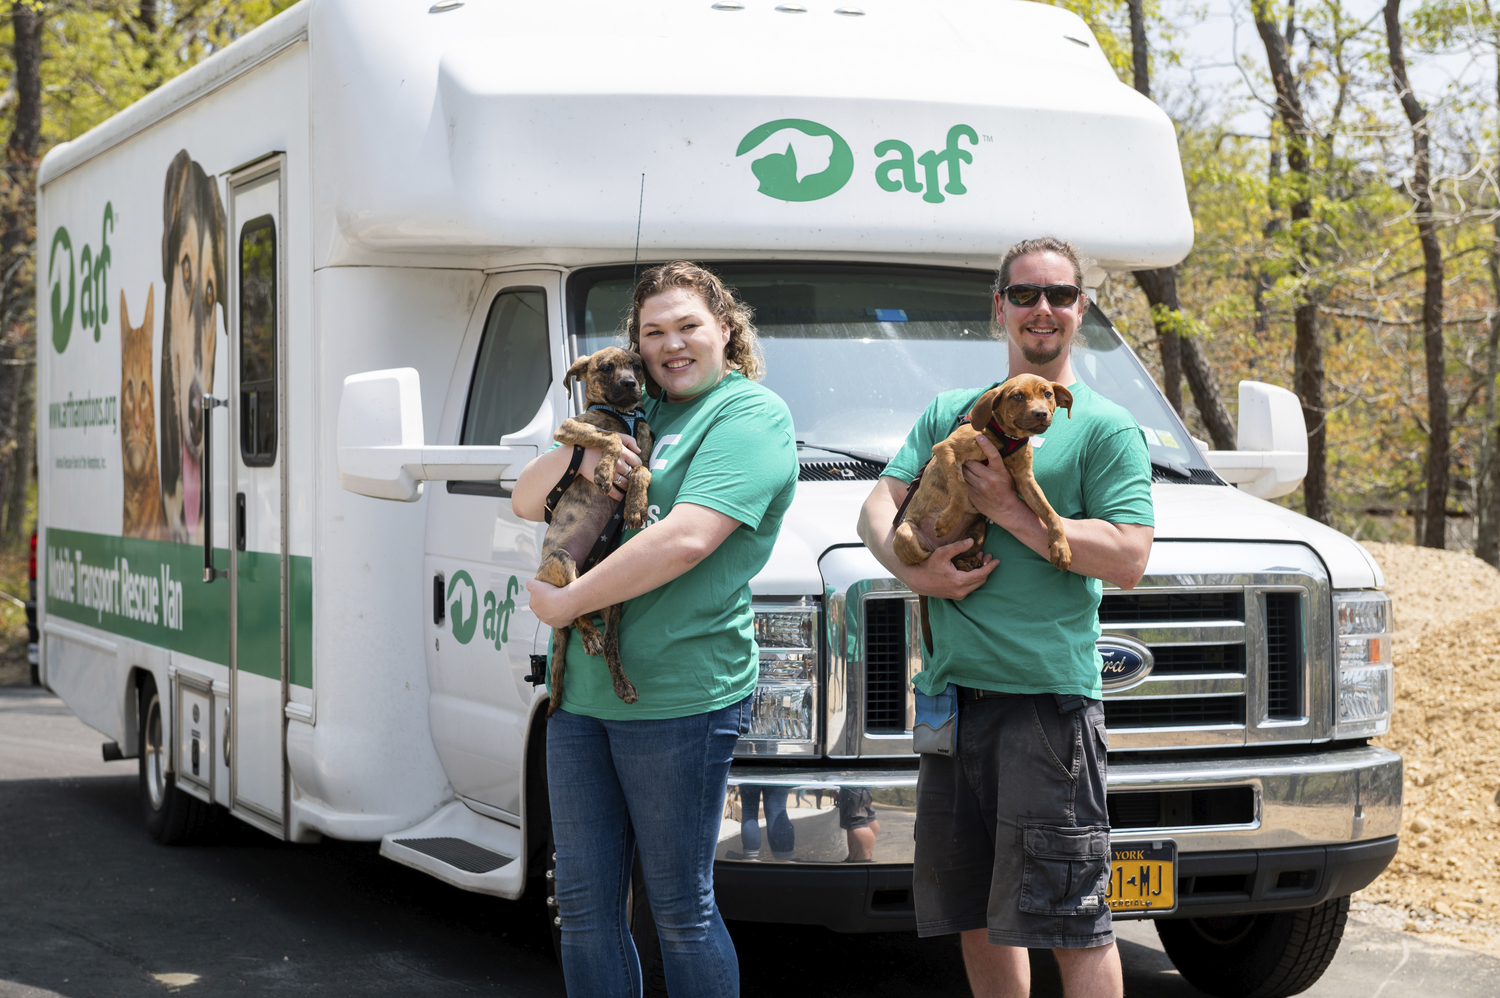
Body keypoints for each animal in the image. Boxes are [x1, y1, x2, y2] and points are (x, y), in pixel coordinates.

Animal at [543, 346, 654, 711]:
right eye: (606, 368)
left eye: (637, 366)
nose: (631, 384)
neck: (624, 415)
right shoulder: (568, 428)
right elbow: (611, 438)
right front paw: (604, 472)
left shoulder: (643, 458)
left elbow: (642, 472)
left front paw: (634, 506)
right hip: (562, 561)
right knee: (571, 604)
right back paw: (589, 637)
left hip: (612, 602)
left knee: (611, 645)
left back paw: (622, 684)